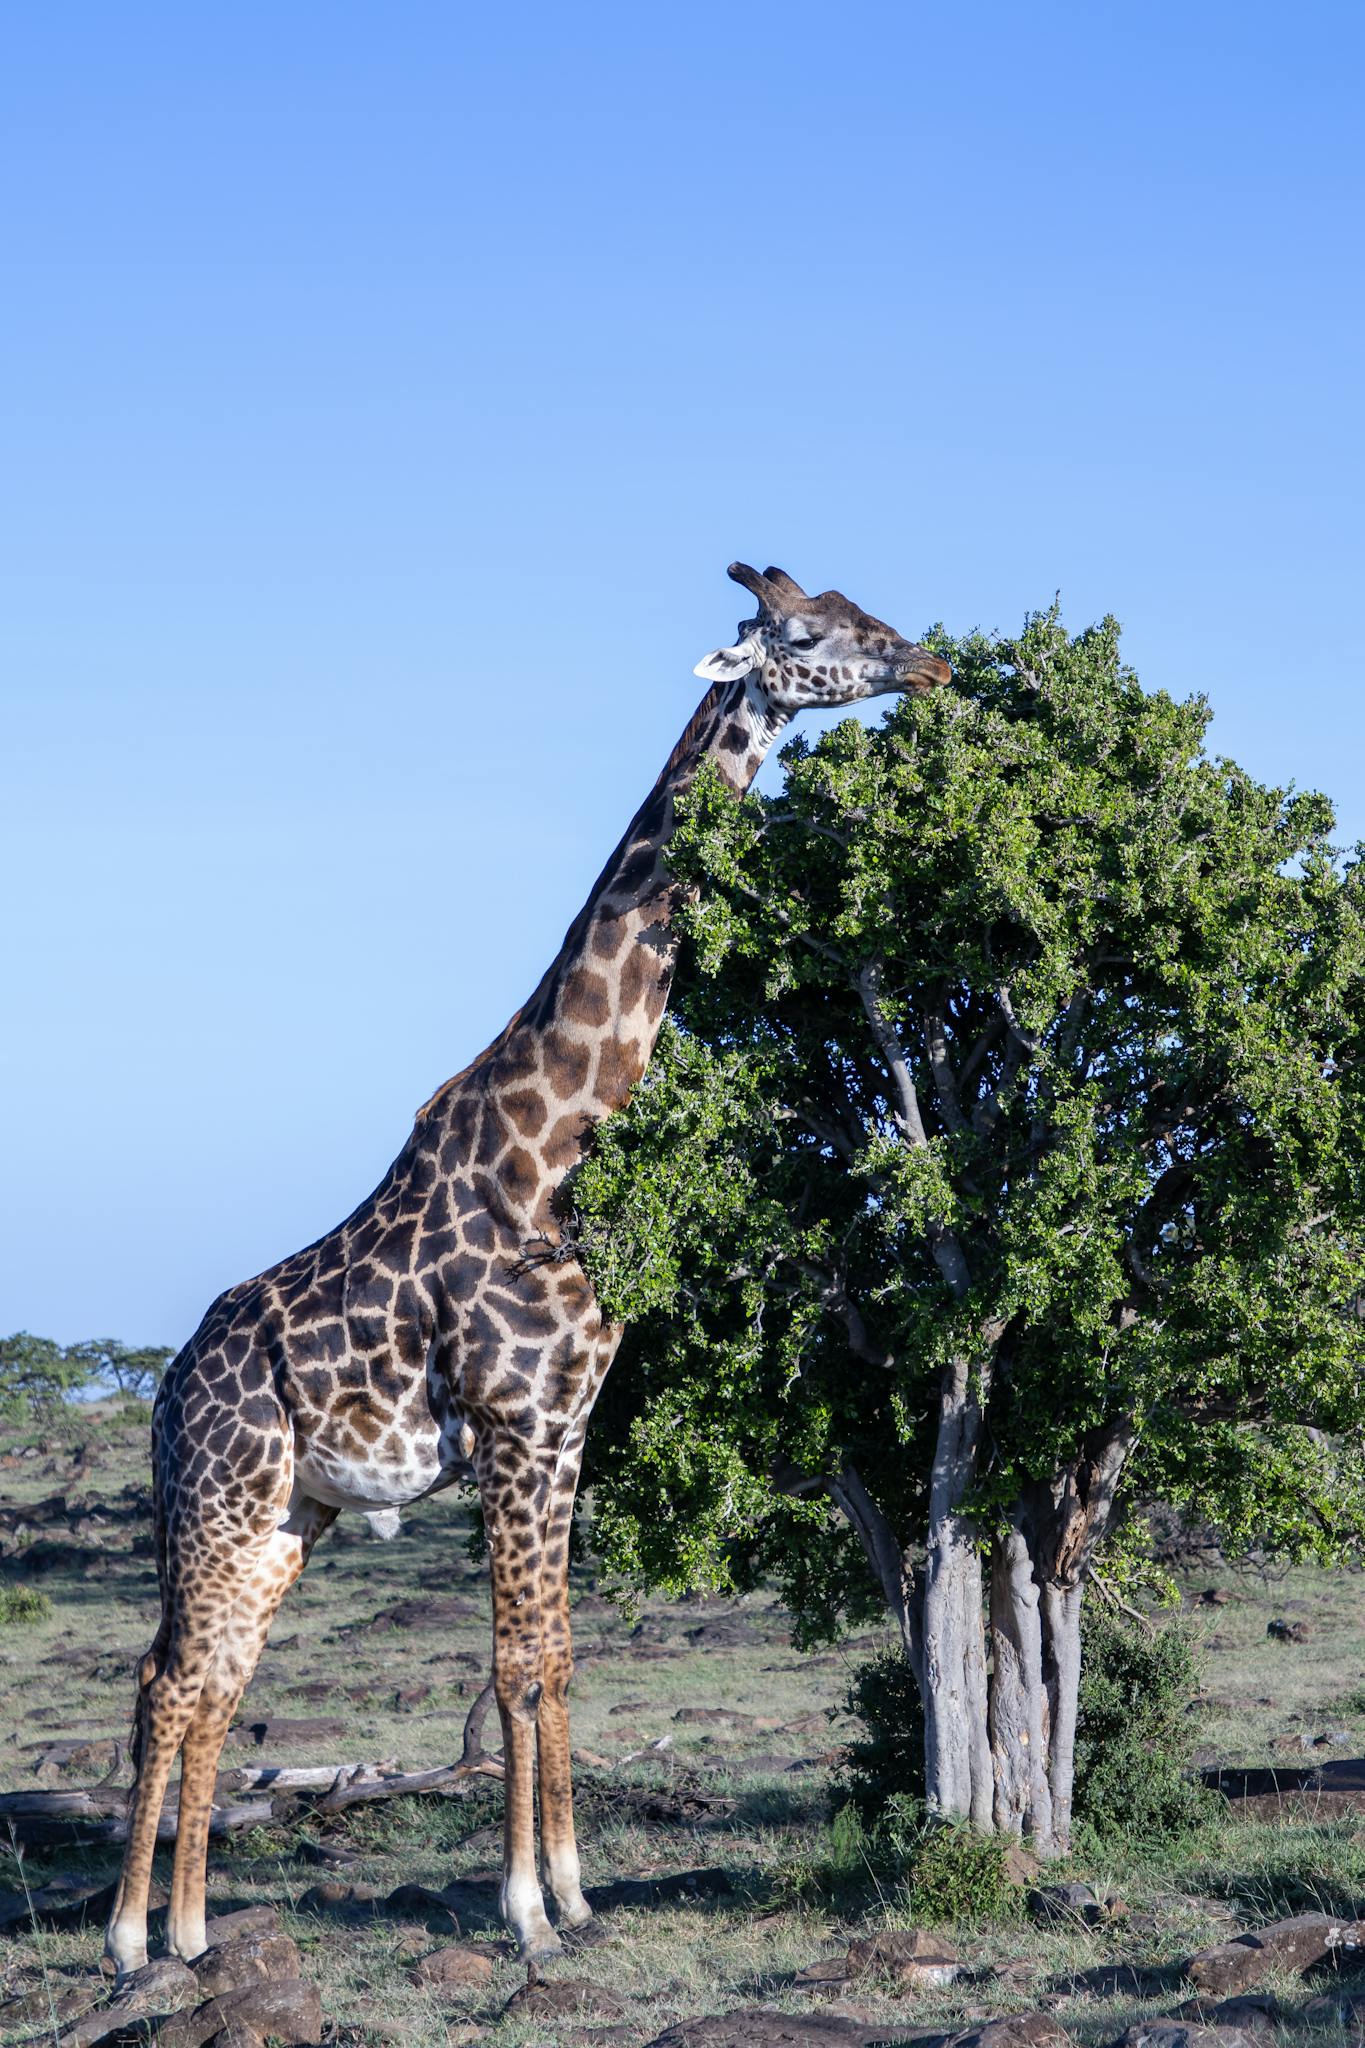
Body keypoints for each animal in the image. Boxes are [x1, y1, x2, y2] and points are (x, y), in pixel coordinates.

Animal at [104, 562, 951, 1980]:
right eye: (810, 631)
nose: (932, 663)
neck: (553, 1149)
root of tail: (167, 1390)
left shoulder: (566, 1430)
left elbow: (555, 1654)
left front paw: (575, 1893)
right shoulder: (511, 1427)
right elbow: (510, 1665)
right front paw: (522, 1911)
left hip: (287, 1513)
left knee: (212, 1677)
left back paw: (192, 1930)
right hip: (221, 1497)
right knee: (171, 1678)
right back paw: (125, 1937)